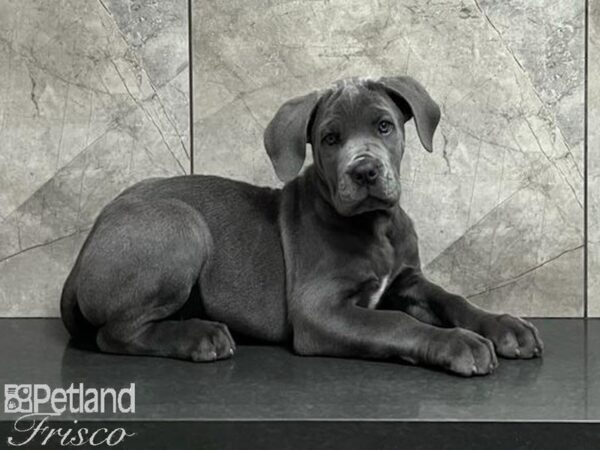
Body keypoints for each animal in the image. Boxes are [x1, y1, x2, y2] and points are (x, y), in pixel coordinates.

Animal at [62, 76, 544, 376]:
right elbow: (395, 323)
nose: (364, 171)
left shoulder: (408, 280)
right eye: (330, 139)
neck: (375, 227)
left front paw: (504, 326)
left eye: (384, 126)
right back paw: (199, 336)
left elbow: (451, 297)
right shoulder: (318, 310)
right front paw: (458, 344)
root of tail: (86, 246)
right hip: (182, 224)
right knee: (115, 334)